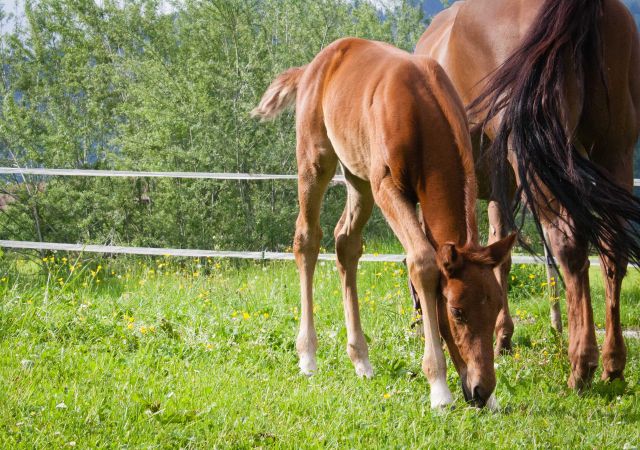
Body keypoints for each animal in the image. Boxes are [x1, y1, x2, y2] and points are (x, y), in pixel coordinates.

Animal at [252, 37, 516, 408]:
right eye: (457, 312)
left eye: (495, 309)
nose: (481, 390)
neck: (422, 109)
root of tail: (312, 67)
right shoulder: (387, 186)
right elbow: (422, 263)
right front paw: (439, 387)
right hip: (317, 161)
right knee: (307, 238)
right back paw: (308, 356)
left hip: (358, 177)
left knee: (346, 243)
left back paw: (361, 359)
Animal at [415, 0, 640, 389]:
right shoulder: (500, 188)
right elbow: (499, 252)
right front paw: (502, 335)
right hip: (615, 152)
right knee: (613, 250)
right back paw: (613, 364)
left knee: (570, 245)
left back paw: (582, 365)